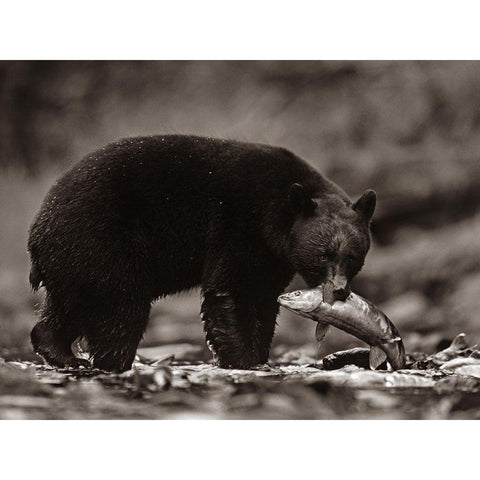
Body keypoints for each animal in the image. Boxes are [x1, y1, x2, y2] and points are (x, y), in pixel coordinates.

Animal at [28, 135, 376, 372]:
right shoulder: (238, 225)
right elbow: (231, 290)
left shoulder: (272, 257)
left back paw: (61, 353)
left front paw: (260, 357)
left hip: (74, 262)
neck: (275, 214)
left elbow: (263, 299)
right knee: (120, 308)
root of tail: (38, 227)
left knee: (69, 305)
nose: (340, 290)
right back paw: (112, 361)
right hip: (102, 243)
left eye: (353, 256)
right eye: (324, 255)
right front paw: (245, 361)